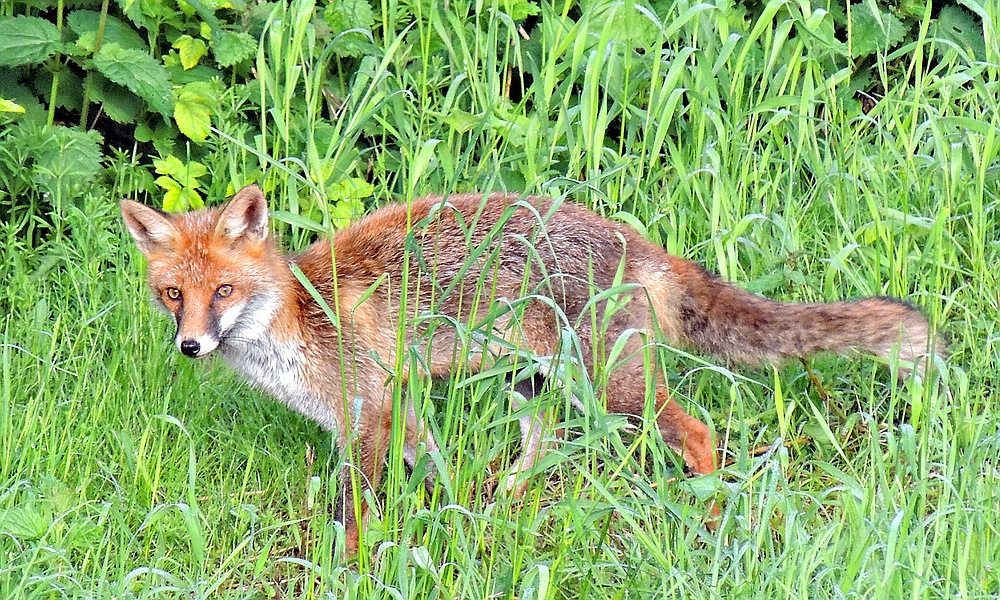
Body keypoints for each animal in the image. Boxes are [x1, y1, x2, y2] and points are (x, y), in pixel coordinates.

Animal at [121, 185, 940, 552]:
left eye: (223, 292)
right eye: (174, 295)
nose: (191, 346)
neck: (296, 316)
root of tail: (642, 243)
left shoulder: (366, 412)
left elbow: (358, 513)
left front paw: (349, 568)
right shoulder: (396, 409)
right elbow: (427, 471)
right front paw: (444, 524)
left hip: (616, 388)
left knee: (702, 434)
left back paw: (709, 525)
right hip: (538, 381)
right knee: (543, 447)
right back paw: (504, 503)